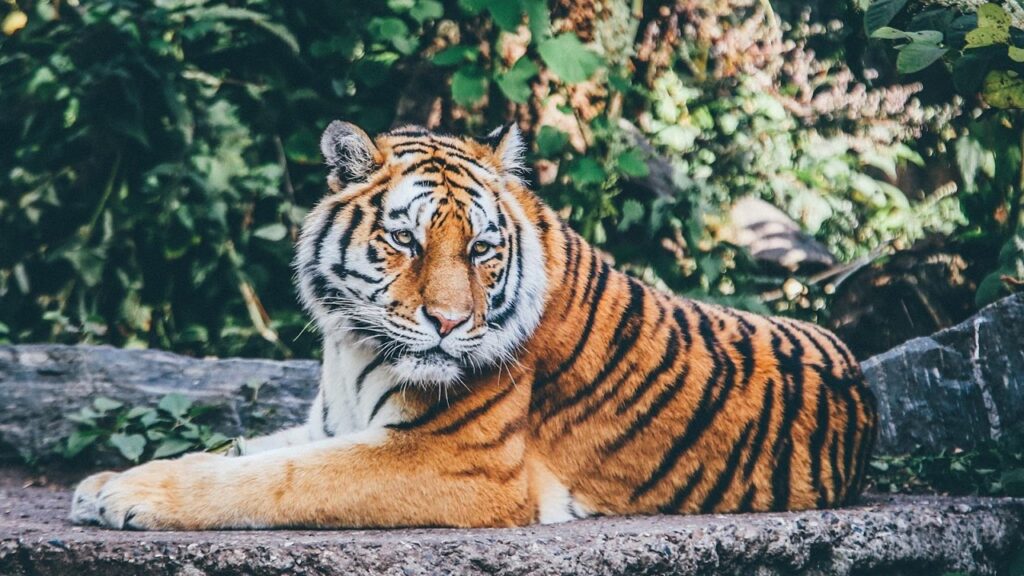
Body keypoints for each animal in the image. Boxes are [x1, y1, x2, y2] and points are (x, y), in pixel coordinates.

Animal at [70, 121, 877, 530]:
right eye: (406, 240)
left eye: (483, 250)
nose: (450, 322)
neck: (350, 345)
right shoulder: (330, 423)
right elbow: (241, 450)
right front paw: (105, 482)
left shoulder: (454, 461)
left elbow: (277, 479)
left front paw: (131, 497)